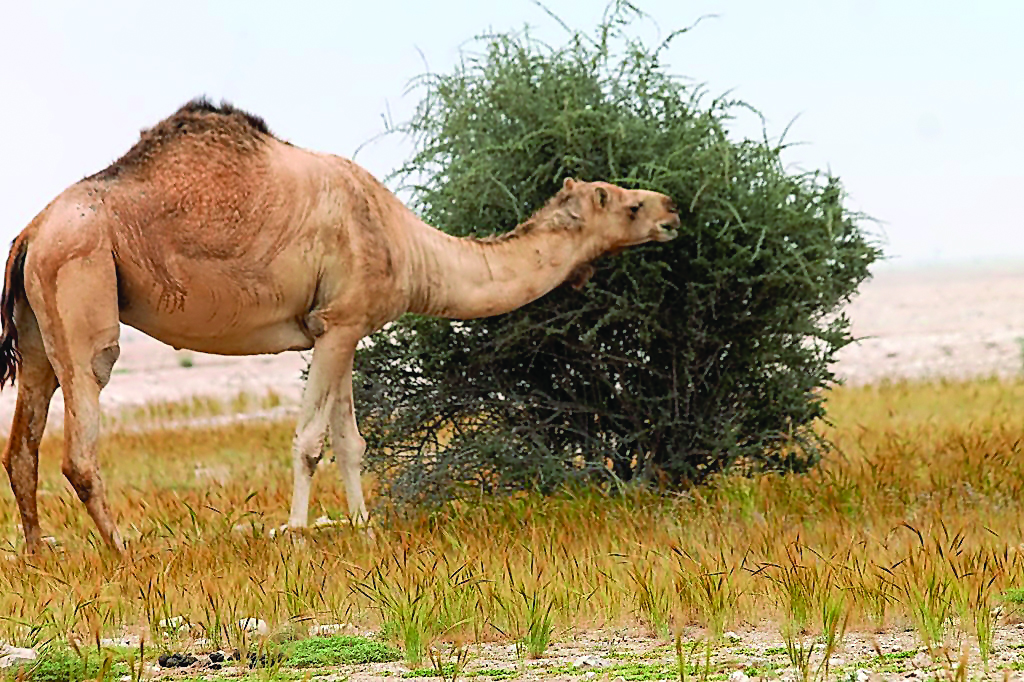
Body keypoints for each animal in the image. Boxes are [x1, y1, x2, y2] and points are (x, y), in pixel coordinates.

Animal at [0, 98, 680, 553]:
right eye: (629, 204)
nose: (672, 208)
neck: (408, 245)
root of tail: (29, 232)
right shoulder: (337, 323)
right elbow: (309, 440)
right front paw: (299, 534)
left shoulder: (346, 328)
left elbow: (352, 441)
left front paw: (363, 528)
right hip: (83, 279)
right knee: (81, 437)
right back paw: (124, 550)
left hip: (37, 324)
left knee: (24, 439)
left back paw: (38, 553)